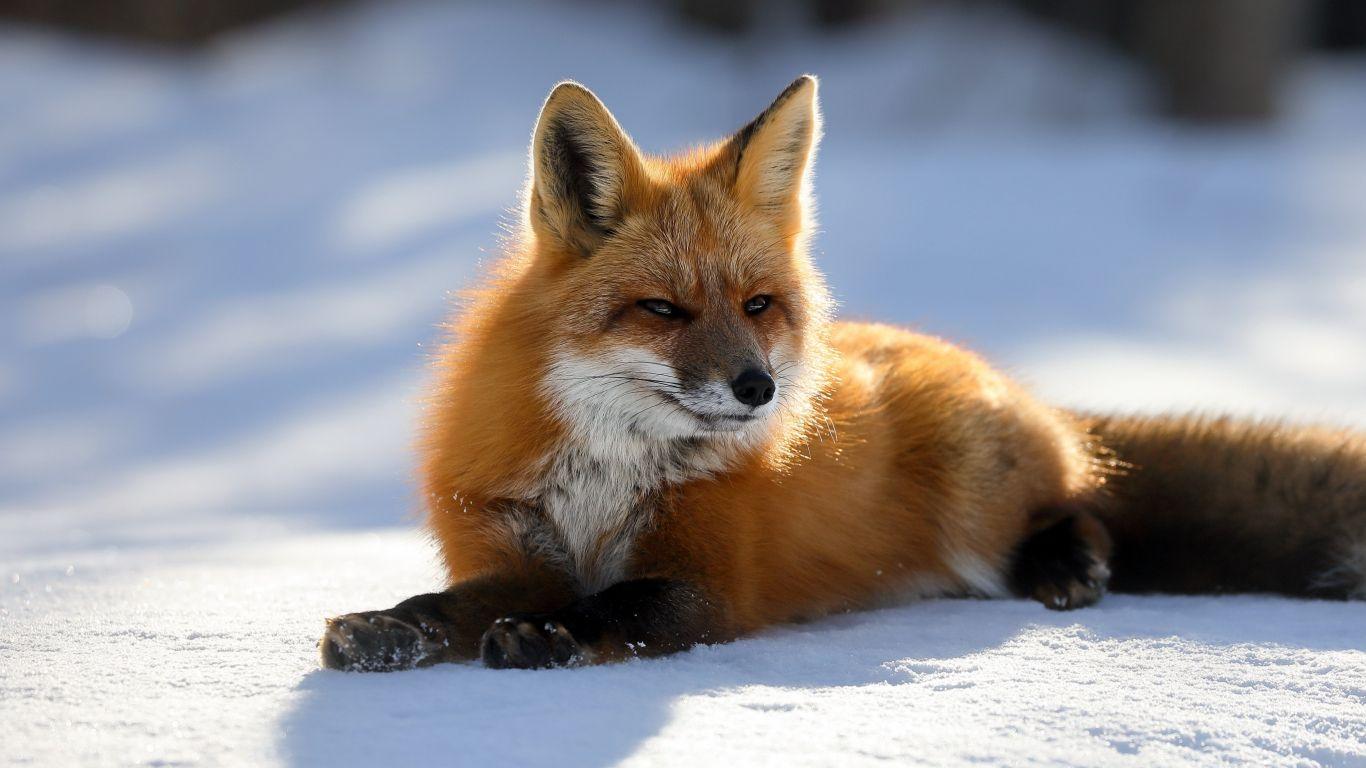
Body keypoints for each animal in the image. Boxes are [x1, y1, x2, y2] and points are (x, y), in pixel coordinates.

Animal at [320, 75, 1366, 672]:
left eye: (757, 306)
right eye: (662, 310)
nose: (759, 389)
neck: (603, 482)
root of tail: (1030, 397)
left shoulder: (706, 581)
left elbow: (617, 605)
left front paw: (553, 637)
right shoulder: (511, 553)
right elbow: (447, 605)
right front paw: (389, 626)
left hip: (978, 505)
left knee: (1088, 506)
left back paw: (1070, 565)